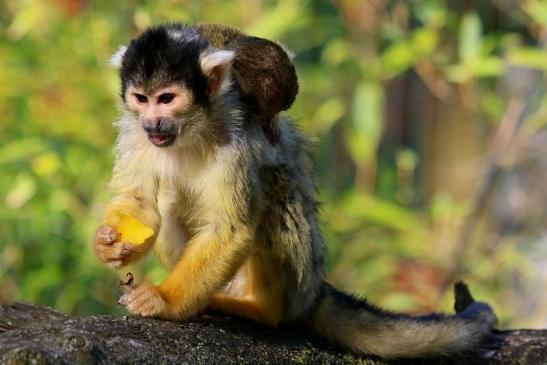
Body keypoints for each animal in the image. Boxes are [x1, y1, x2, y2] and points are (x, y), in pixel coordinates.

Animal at [93, 23, 496, 358]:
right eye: (141, 98)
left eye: (167, 98)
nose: (153, 121)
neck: (193, 128)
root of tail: (316, 291)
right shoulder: (134, 132)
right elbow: (140, 203)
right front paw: (110, 244)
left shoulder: (234, 137)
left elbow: (231, 228)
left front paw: (165, 300)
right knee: (172, 200)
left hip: (301, 281)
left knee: (274, 185)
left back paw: (264, 310)